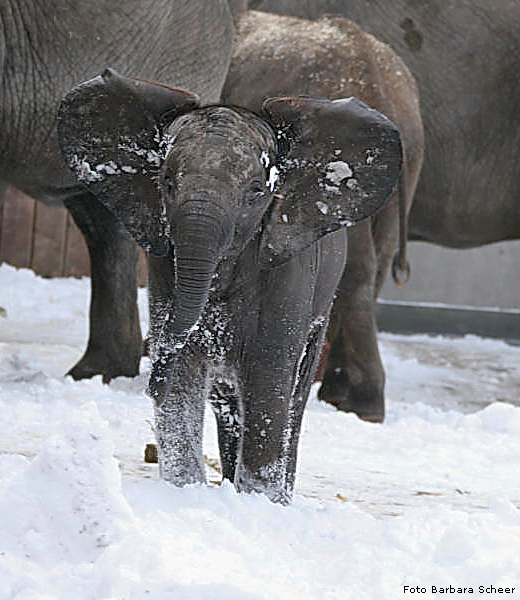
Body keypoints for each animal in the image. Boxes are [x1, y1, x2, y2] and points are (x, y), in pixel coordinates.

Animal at [58, 69, 402, 502]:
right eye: (166, 181)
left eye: (256, 191)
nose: (149, 382)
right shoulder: (164, 264)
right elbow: (184, 372)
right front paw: (185, 491)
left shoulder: (287, 270)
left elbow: (270, 376)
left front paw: (260, 501)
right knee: (227, 404)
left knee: (293, 398)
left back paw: (279, 496)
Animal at [246, 0, 516, 422]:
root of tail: (380, 88)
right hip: (403, 163)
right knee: (377, 257)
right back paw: (348, 395)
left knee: (358, 264)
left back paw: (357, 401)